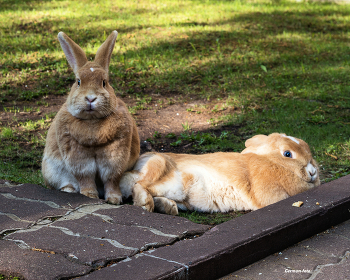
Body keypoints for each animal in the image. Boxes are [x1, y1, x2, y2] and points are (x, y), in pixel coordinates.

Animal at [41, 31, 139, 205]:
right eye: (78, 82)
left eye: (104, 82)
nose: (91, 98)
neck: (92, 121)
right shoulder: (77, 157)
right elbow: (85, 177)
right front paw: (89, 195)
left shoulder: (115, 157)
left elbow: (111, 179)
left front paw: (114, 199)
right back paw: (69, 190)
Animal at [119, 133, 320, 214]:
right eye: (287, 154)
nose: (312, 171)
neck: (272, 161)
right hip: (174, 183)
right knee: (141, 186)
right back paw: (146, 204)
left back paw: (167, 207)